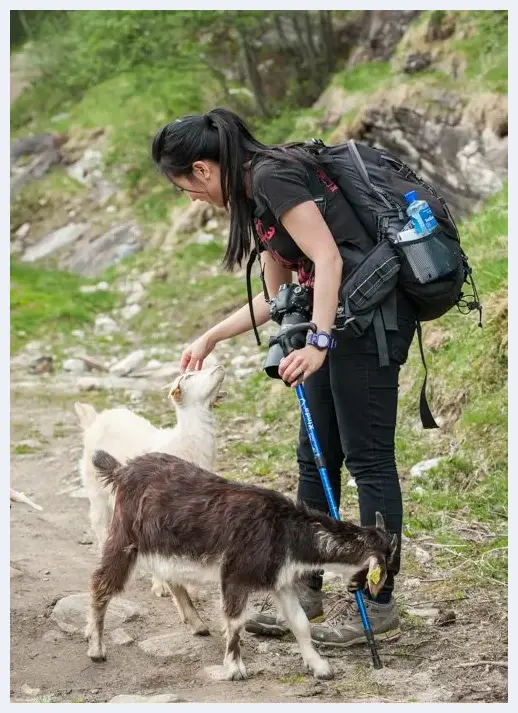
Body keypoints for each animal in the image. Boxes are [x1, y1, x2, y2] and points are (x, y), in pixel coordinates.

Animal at [74, 364, 226, 596]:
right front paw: (161, 585)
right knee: (99, 524)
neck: (184, 442)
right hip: (97, 490)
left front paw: (190, 586)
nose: (219, 366)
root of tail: (96, 420)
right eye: (189, 376)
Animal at [87, 450, 400, 680]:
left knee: (170, 575)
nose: (371, 592)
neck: (285, 529)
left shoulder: (281, 581)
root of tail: (122, 470)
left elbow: (300, 622)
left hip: (165, 543)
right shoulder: (235, 574)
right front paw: (235, 668)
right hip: (126, 536)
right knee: (101, 583)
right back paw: (96, 646)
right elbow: (235, 621)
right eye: (382, 568)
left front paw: (319, 666)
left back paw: (196, 623)